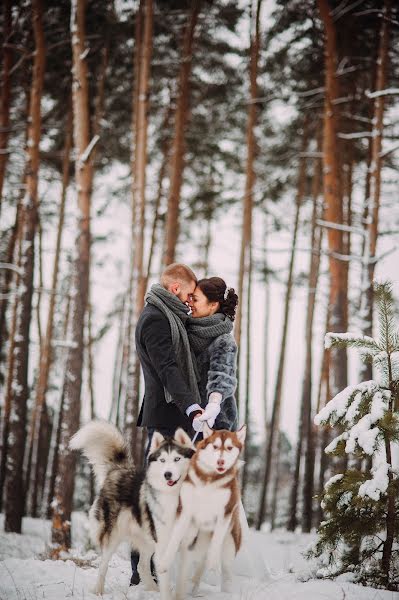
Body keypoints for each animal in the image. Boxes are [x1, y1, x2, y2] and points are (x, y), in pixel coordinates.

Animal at [69, 420, 196, 596]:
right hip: (114, 536)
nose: (167, 474)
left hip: (147, 538)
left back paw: (152, 590)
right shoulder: (164, 544)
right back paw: (99, 591)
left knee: (142, 566)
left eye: (177, 459)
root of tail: (119, 469)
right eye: (162, 460)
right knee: (104, 565)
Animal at [159, 422, 247, 600]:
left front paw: (213, 564)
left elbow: (217, 539)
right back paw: (192, 585)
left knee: (225, 570)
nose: (221, 461)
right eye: (215, 446)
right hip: (198, 543)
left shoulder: (225, 513)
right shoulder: (185, 511)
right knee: (199, 564)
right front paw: (165, 562)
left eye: (229, 448)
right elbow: (174, 538)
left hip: (229, 547)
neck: (209, 479)